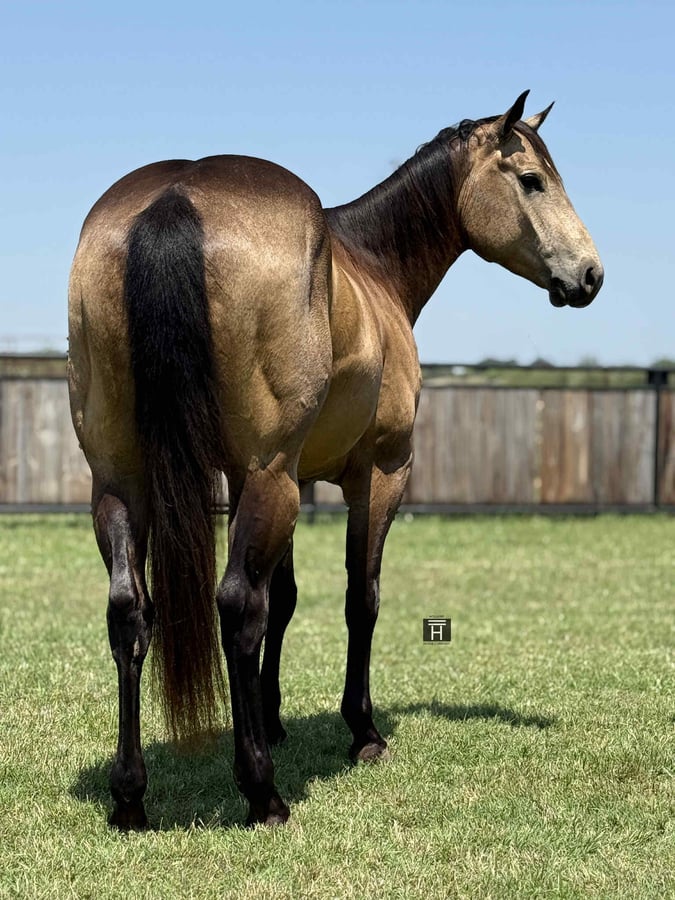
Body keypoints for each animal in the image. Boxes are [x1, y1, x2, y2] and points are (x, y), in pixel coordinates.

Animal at [68, 91, 603, 830]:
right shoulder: (374, 474)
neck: (372, 265)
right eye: (532, 181)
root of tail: (176, 197)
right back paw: (262, 791)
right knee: (236, 607)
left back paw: (130, 797)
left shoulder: (271, 476)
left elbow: (286, 599)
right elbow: (359, 598)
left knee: (130, 612)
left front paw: (271, 718)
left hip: (127, 482)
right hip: (269, 482)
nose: (590, 274)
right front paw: (362, 730)